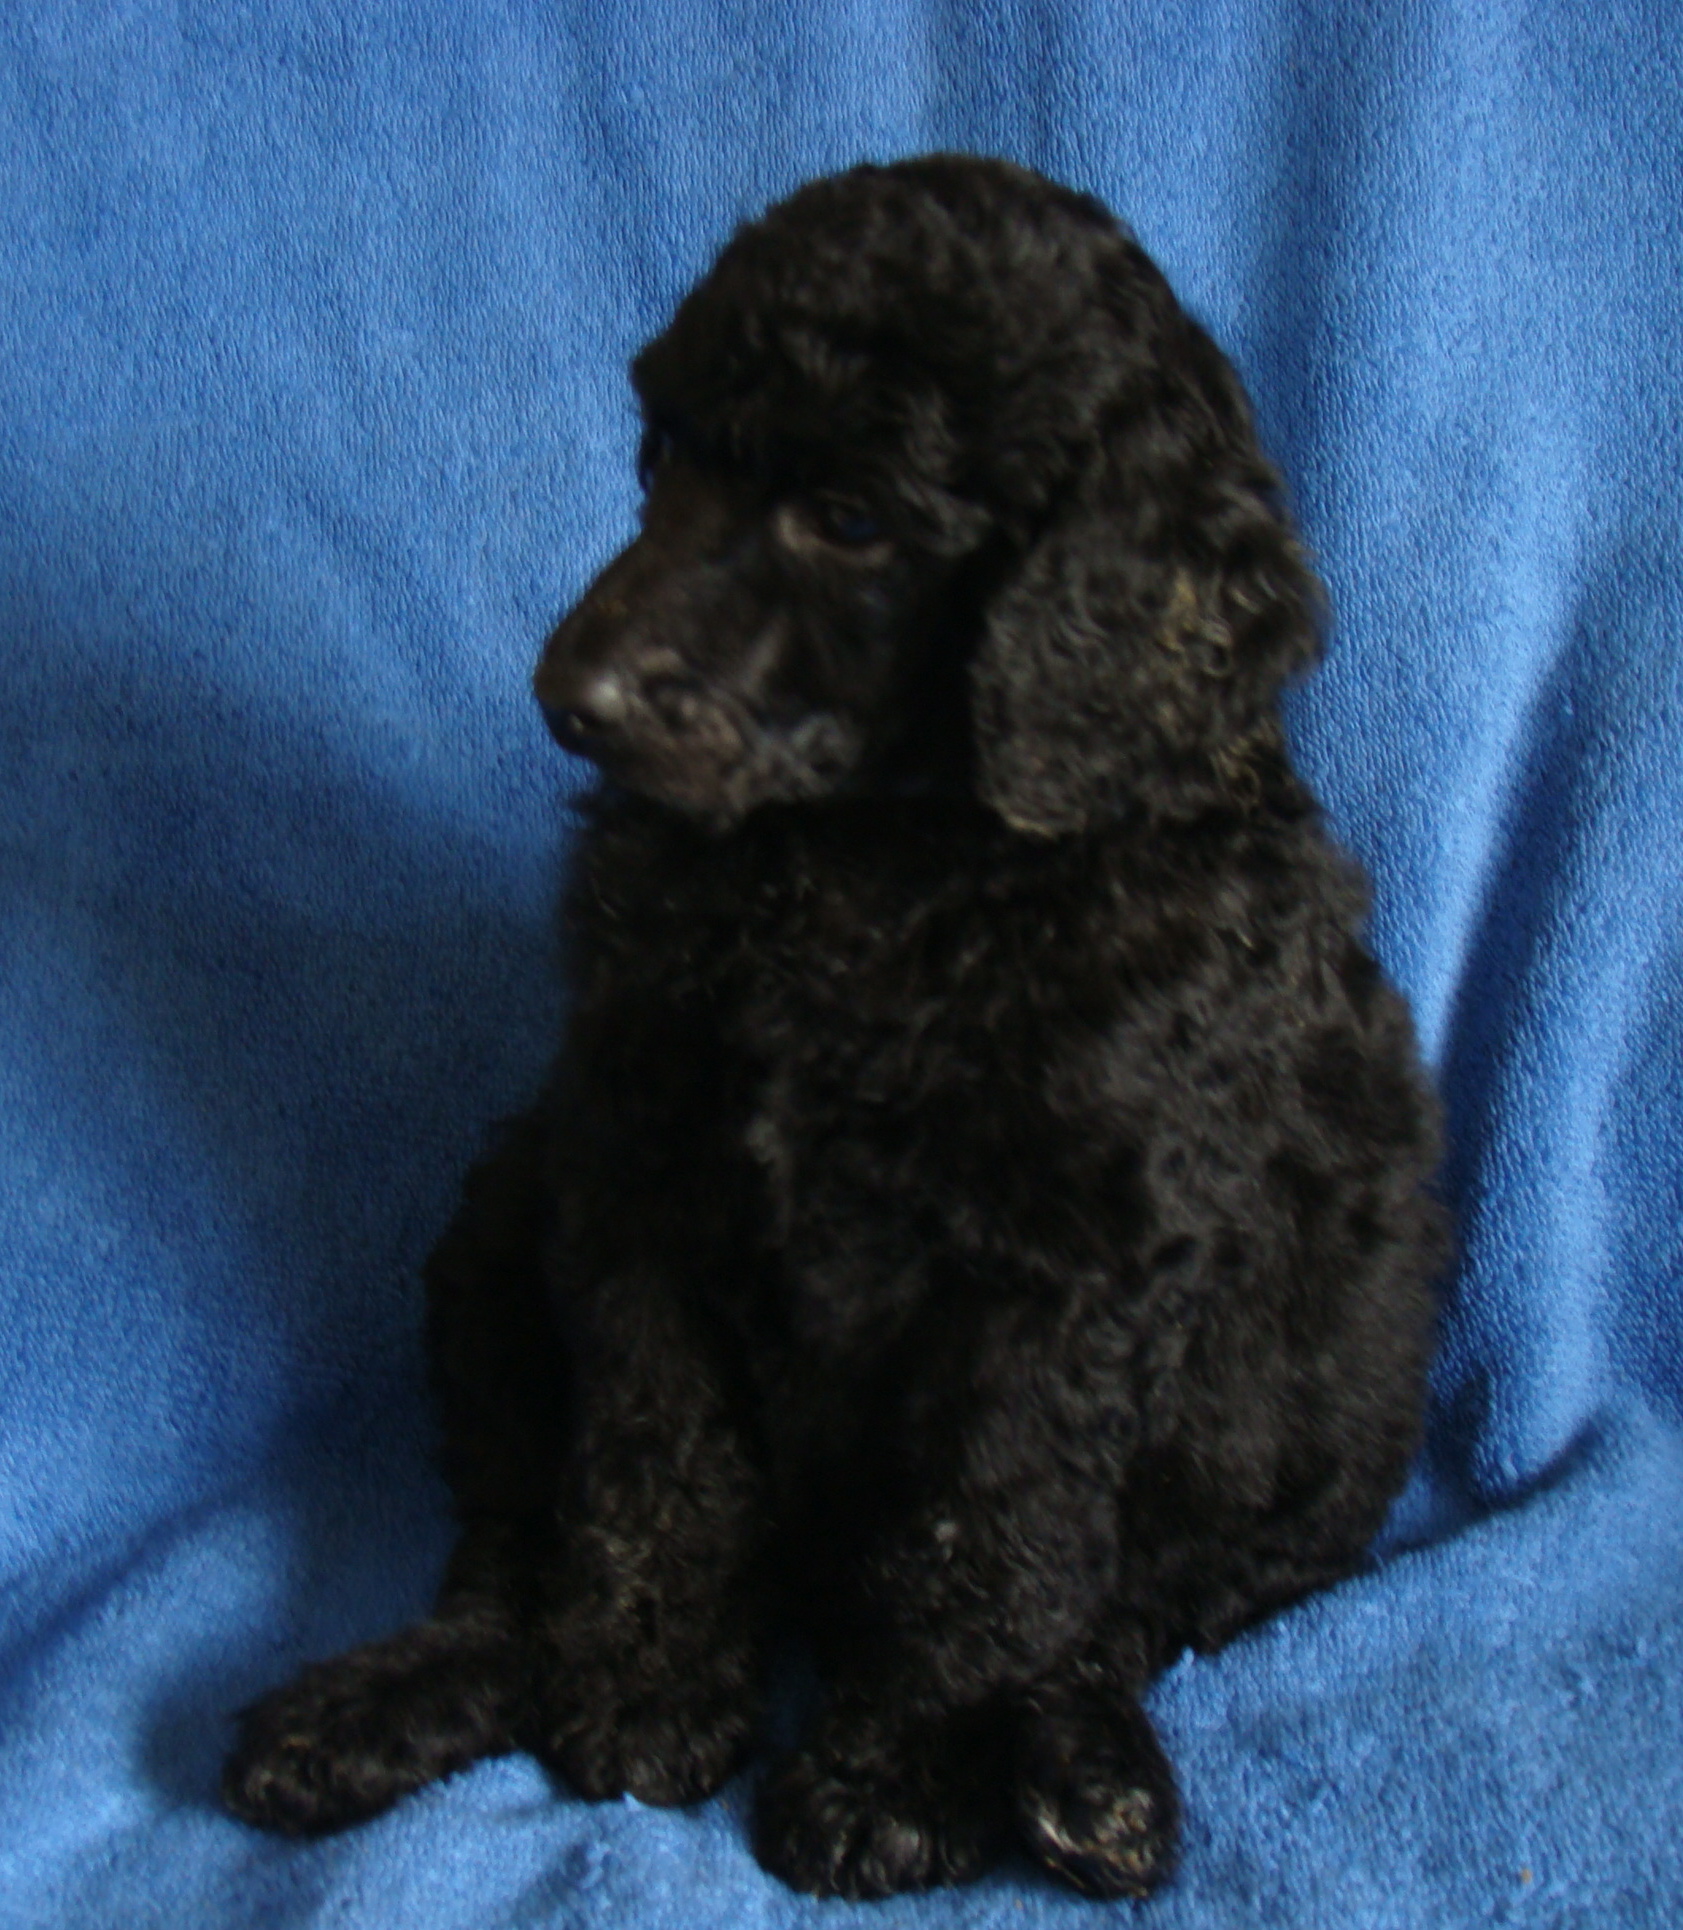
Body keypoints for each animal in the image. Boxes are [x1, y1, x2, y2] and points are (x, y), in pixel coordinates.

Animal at [223, 155, 1444, 1900]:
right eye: (663, 458)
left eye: (850, 518)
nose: (569, 692)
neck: (878, 861)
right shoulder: (633, 1172)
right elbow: (651, 1460)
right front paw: (650, 1678)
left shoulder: (1062, 1266)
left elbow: (982, 1529)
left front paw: (897, 1771)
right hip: (498, 1217)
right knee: (512, 1543)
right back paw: (374, 1705)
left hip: (1317, 1411)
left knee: (1132, 1606)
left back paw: (1086, 1775)